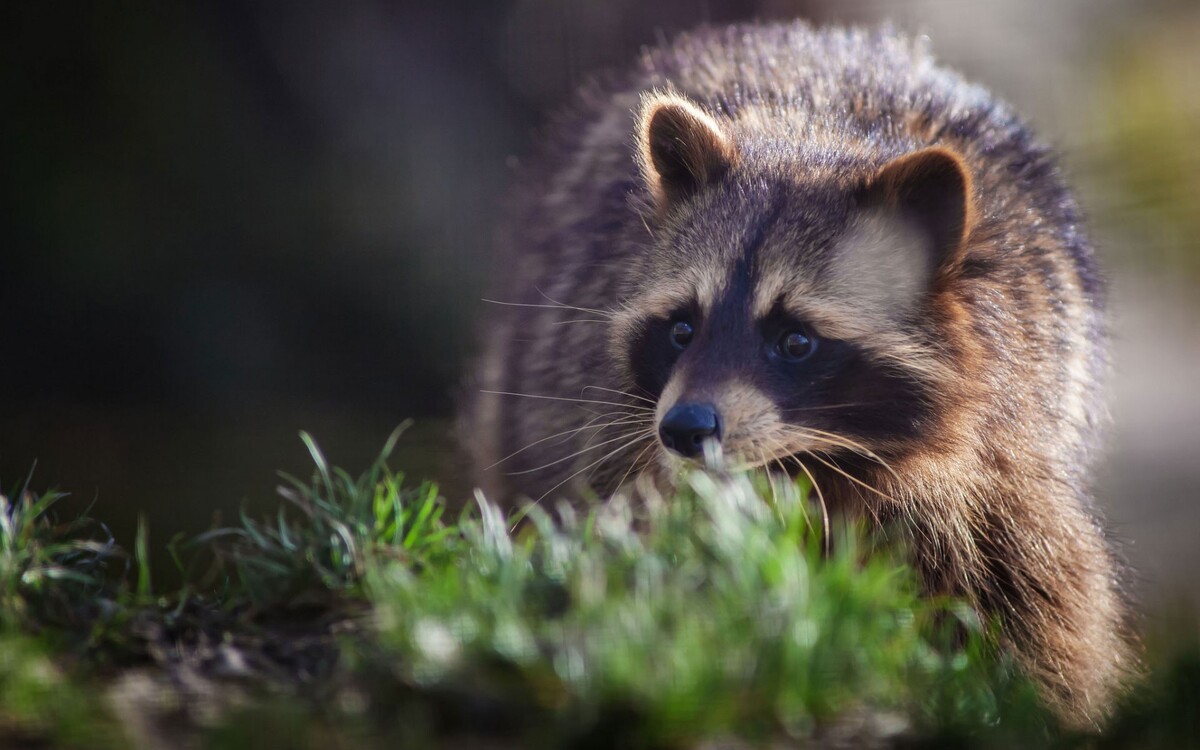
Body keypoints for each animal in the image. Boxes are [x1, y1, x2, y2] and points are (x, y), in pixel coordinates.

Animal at [458, 21, 1132, 724]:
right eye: (682, 329)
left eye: (796, 341)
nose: (684, 428)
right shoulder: (622, 447)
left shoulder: (1002, 468)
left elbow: (1036, 608)